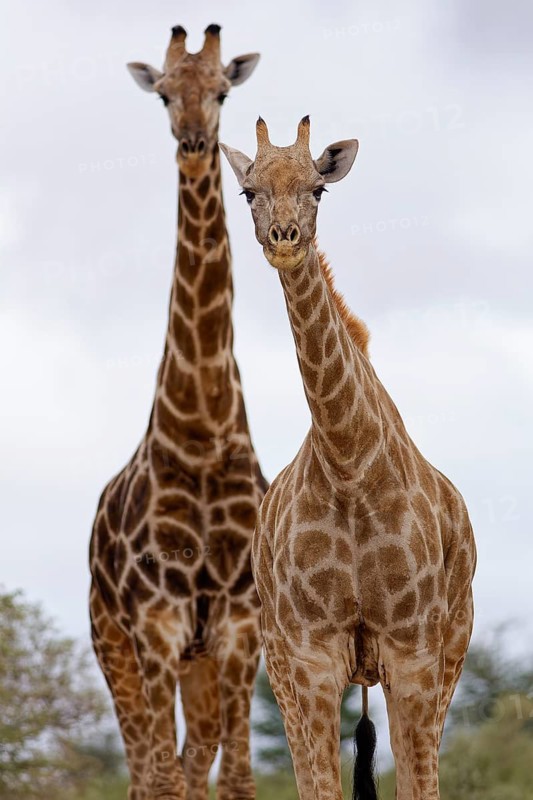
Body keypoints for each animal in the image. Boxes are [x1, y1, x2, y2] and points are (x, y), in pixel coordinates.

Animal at [220, 116, 476, 800]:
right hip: (279, 664)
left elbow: (420, 787)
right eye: (248, 192)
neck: (348, 463)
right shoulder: (310, 659)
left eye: (319, 188)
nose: (284, 240)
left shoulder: (414, 654)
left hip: (453, 650)